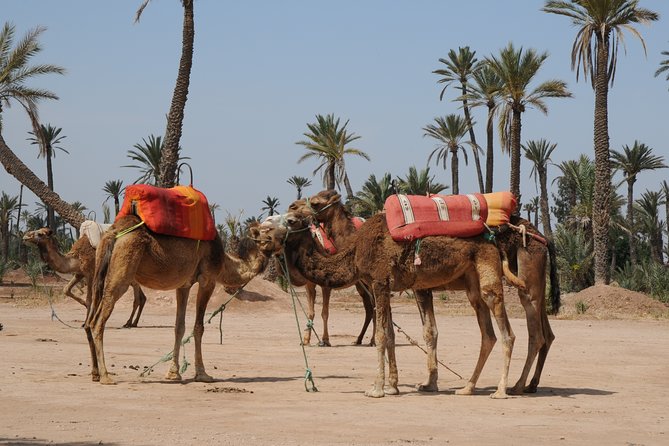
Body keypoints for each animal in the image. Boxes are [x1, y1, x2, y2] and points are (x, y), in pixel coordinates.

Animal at [84, 215, 268, 385]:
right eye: (268, 230)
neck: (224, 262)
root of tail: (113, 232)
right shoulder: (208, 280)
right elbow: (198, 327)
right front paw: (202, 374)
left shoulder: (183, 286)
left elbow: (179, 327)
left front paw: (173, 373)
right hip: (122, 270)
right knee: (98, 322)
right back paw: (106, 376)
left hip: (100, 269)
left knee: (89, 320)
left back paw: (95, 373)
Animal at [257, 209, 519, 399]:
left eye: (291, 220)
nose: (263, 227)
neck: (354, 250)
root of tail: (493, 240)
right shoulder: (386, 286)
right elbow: (391, 334)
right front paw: (393, 386)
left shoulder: (379, 282)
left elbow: (382, 335)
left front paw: (376, 389)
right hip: (471, 281)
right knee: (488, 334)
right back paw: (467, 388)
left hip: (487, 268)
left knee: (506, 332)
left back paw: (500, 391)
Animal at [300, 190, 558, 394]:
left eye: (315, 202)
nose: (294, 208)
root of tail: (543, 238)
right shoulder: (419, 288)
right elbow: (427, 332)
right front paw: (424, 383)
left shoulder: (409, 286)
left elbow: (417, 331)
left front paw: (401, 384)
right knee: (545, 333)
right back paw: (527, 384)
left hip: (526, 275)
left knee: (534, 332)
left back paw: (515, 386)